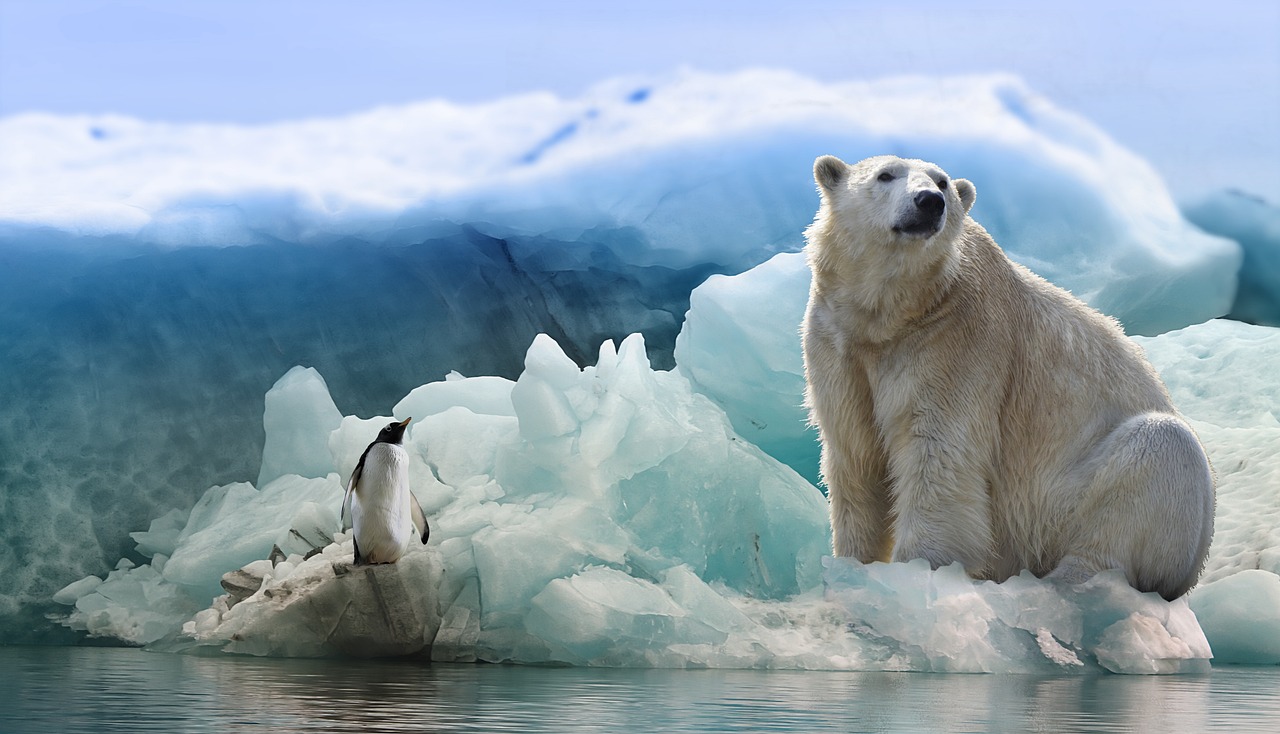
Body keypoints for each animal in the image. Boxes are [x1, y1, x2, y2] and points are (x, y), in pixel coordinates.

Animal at [801, 154, 1214, 600]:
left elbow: (938, 455)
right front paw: (852, 566)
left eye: (942, 182)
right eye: (885, 175)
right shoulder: (838, 344)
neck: (895, 314)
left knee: (1158, 452)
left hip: (1068, 502)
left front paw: (918, 571)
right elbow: (855, 454)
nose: (929, 202)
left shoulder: (956, 340)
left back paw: (1068, 582)